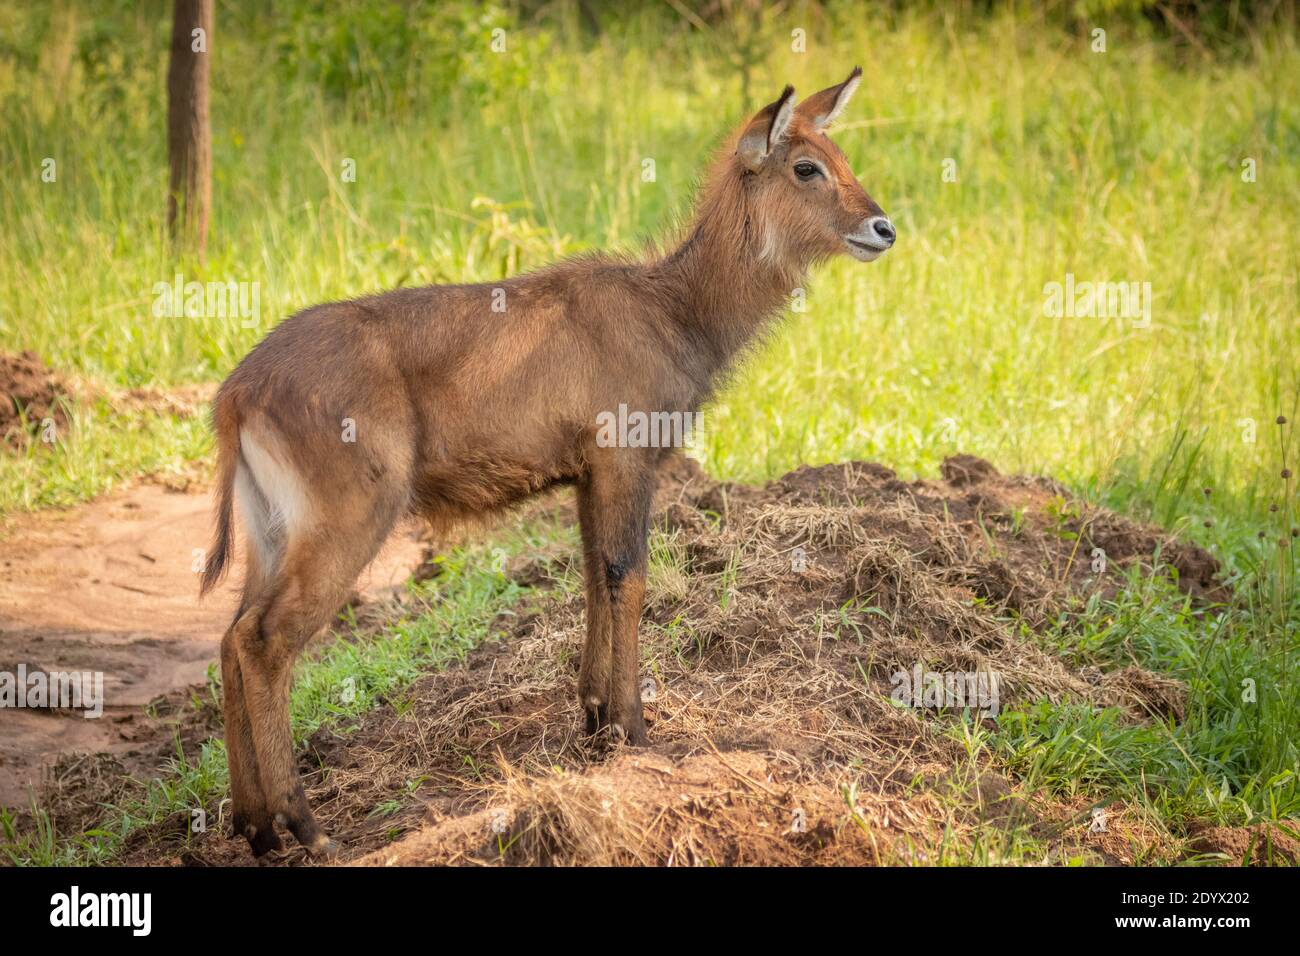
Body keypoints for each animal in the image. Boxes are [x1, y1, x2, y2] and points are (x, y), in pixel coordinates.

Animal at [202, 69, 894, 858]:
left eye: (840, 155)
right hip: (347, 521)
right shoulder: (626, 461)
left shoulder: (587, 475)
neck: (674, 308)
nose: (883, 228)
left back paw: (254, 827)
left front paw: (593, 719)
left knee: (230, 636)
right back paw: (306, 827)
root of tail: (237, 391)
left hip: (271, 531)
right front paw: (632, 730)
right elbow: (629, 576)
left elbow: (593, 578)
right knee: (265, 641)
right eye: (806, 167)